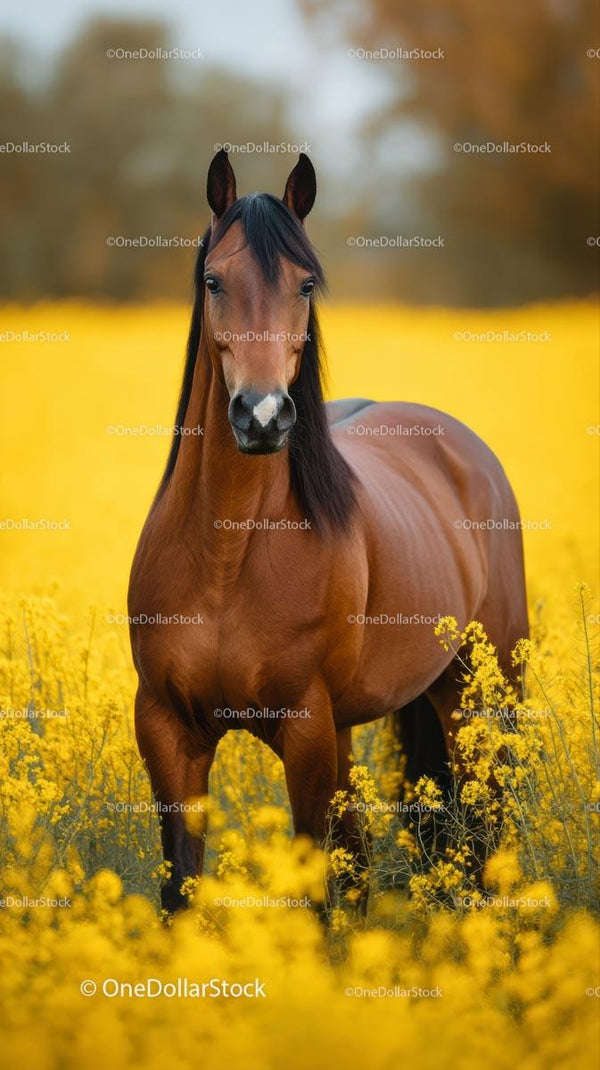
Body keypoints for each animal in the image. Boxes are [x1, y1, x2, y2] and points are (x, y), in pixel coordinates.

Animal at [128, 148, 528, 913]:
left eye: (305, 284)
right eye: (214, 281)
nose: (262, 416)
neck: (226, 552)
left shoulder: (306, 729)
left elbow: (312, 895)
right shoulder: (167, 729)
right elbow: (181, 890)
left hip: (481, 698)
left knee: (486, 829)